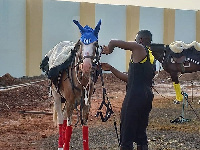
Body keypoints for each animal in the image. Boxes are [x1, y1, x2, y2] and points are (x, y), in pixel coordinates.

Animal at [40, 19, 102, 150]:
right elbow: (69, 127)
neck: (81, 80)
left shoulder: (85, 104)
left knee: (63, 118)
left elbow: (84, 126)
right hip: (57, 97)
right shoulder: (69, 102)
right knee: (60, 119)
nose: (86, 66)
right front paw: (65, 145)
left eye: (95, 44)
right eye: (80, 44)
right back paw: (60, 145)